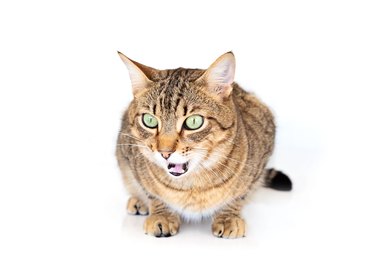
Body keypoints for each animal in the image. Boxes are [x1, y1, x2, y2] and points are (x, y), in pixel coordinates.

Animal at [116, 51, 292, 240]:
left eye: (193, 122)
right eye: (149, 120)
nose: (164, 152)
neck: (192, 186)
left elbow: (239, 195)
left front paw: (228, 217)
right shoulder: (128, 153)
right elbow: (152, 193)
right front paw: (162, 214)